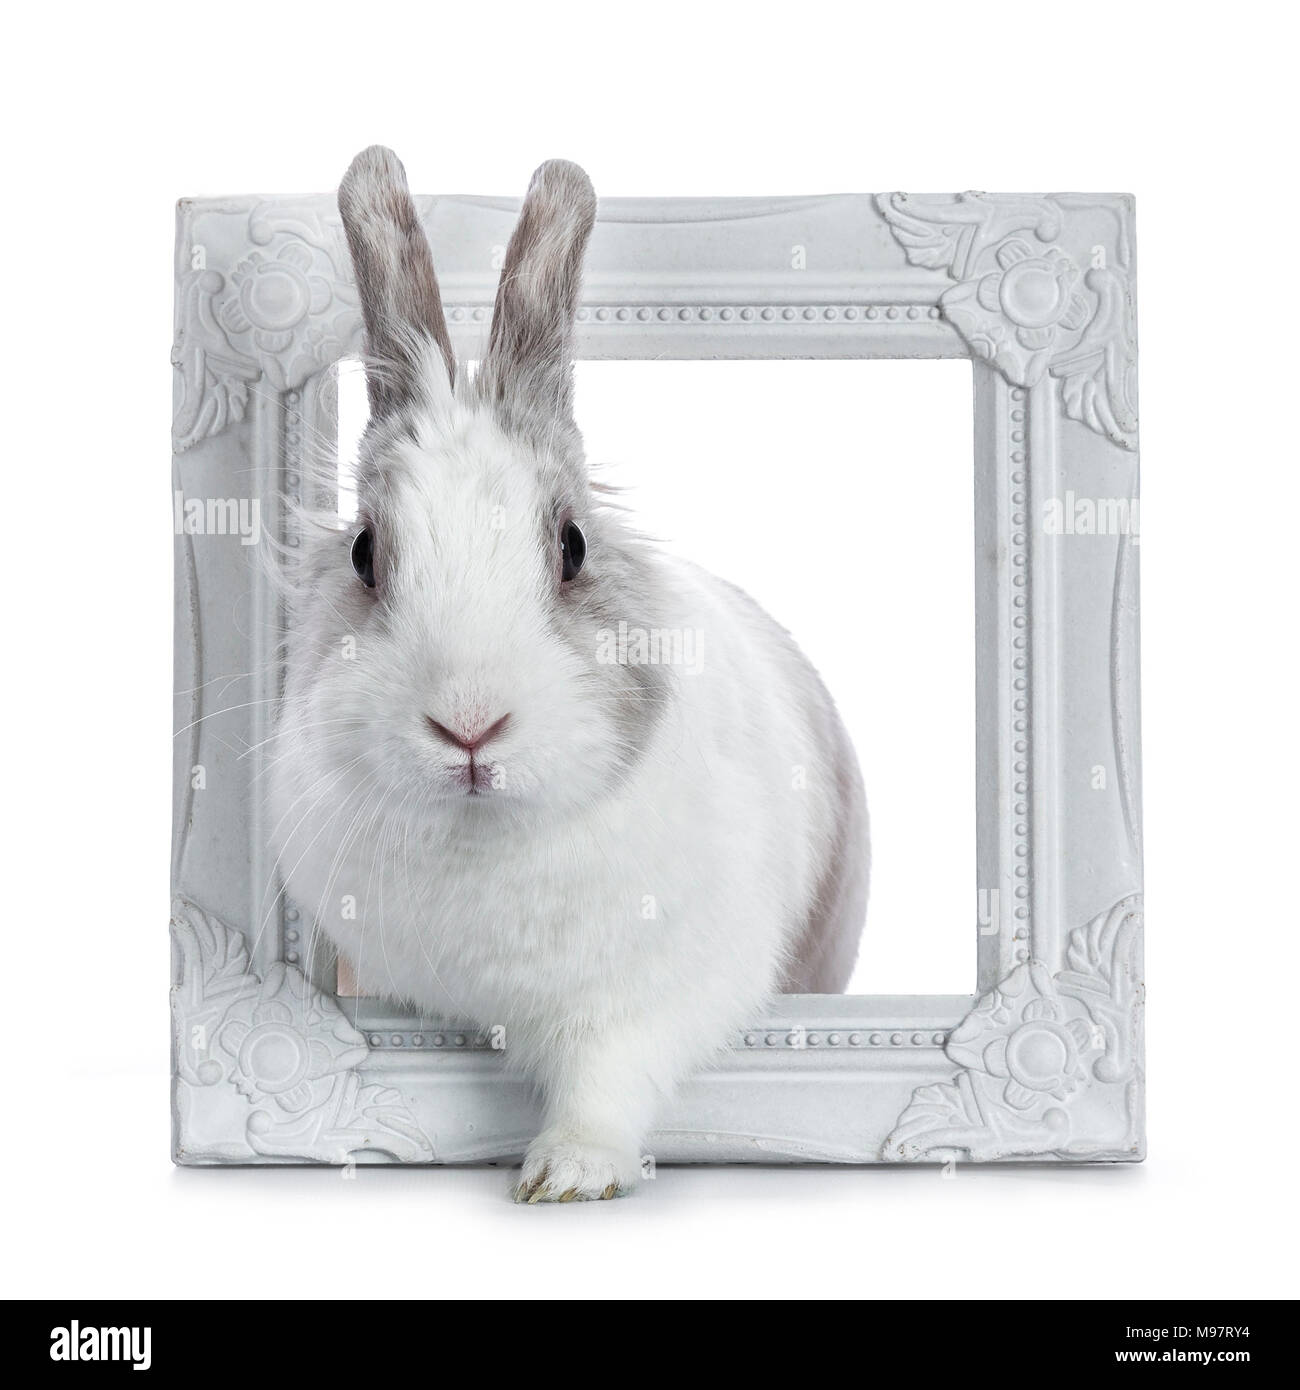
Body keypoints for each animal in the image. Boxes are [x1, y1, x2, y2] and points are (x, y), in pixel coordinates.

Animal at [269, 146, 869, 1201]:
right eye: (365, 553)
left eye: (573, 546)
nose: (469, 725)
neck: (484, 840)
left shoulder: (654, 994)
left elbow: (608, 1077)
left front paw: (567, 1175)